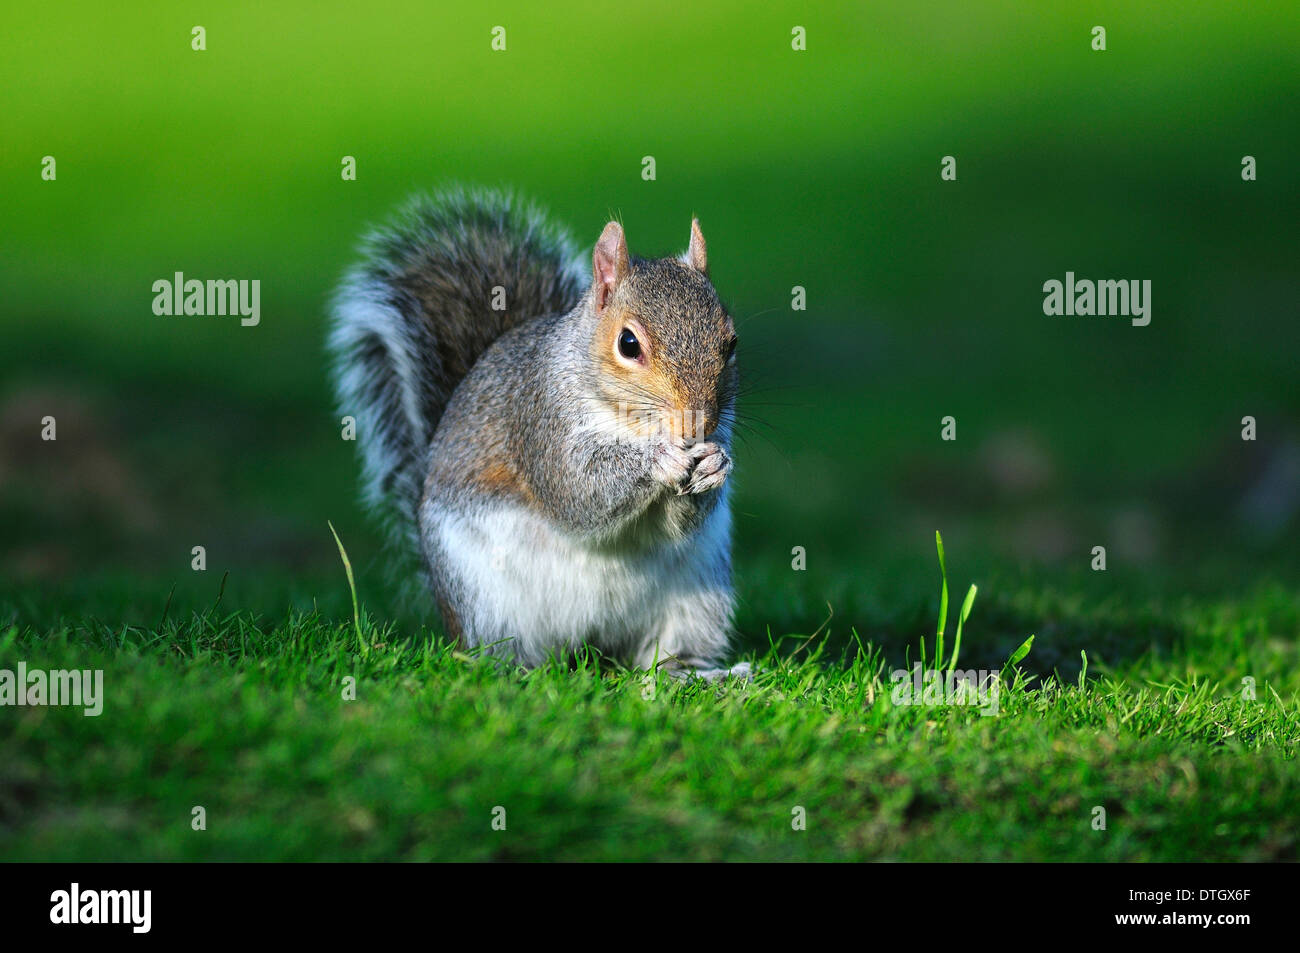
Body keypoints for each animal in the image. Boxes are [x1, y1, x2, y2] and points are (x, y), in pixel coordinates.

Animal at [330, 187, 748, 676]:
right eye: (628, 344)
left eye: (731, 343)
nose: (696, 424)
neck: (627, 422)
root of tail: (592, 646)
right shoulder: (541, 421)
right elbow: (577, 492)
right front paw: (657, 460)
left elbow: (679, 523)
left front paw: (715, 465)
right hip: (483, 598)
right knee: (502, 649)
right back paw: (513, 670)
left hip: (699, 596)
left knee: (662, 655)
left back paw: (697, 673)